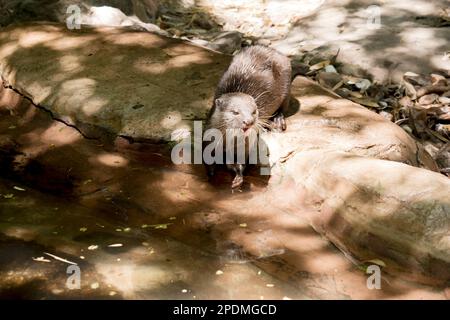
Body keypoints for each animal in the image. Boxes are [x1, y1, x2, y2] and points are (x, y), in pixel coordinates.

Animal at [204, 45, 292, 190]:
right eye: (235, 112)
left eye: (254, 111)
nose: (249, 121)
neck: (227, 144)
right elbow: (206, 157)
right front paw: (210, 174)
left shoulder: (244, 148)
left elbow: (238, 164)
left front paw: (238, 179)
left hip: (286, 85)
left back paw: (277, 121)